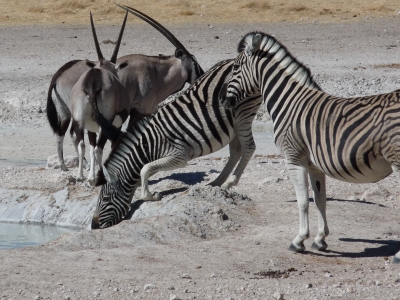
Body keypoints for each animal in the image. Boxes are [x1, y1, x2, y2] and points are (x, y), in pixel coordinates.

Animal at [92, 59, 264, 231]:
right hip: (233, 123)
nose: (93, 225)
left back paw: (230, 182)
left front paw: (151, 196)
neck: (149, 146)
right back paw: (216, 183)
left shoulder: (179, 156)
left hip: (243, 113)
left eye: (105, 199)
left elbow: (144, 169)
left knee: (249, 147)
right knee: (235, 151)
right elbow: (146, 170)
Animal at [219, 31, 400, 264]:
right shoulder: (315, 165)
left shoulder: (294, 159)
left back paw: (398, 256)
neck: (290, 102)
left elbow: (302, 201)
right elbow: (320, 201)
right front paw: (320, 239)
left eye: (234, 68)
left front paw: (298, 241)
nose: (222, 100)